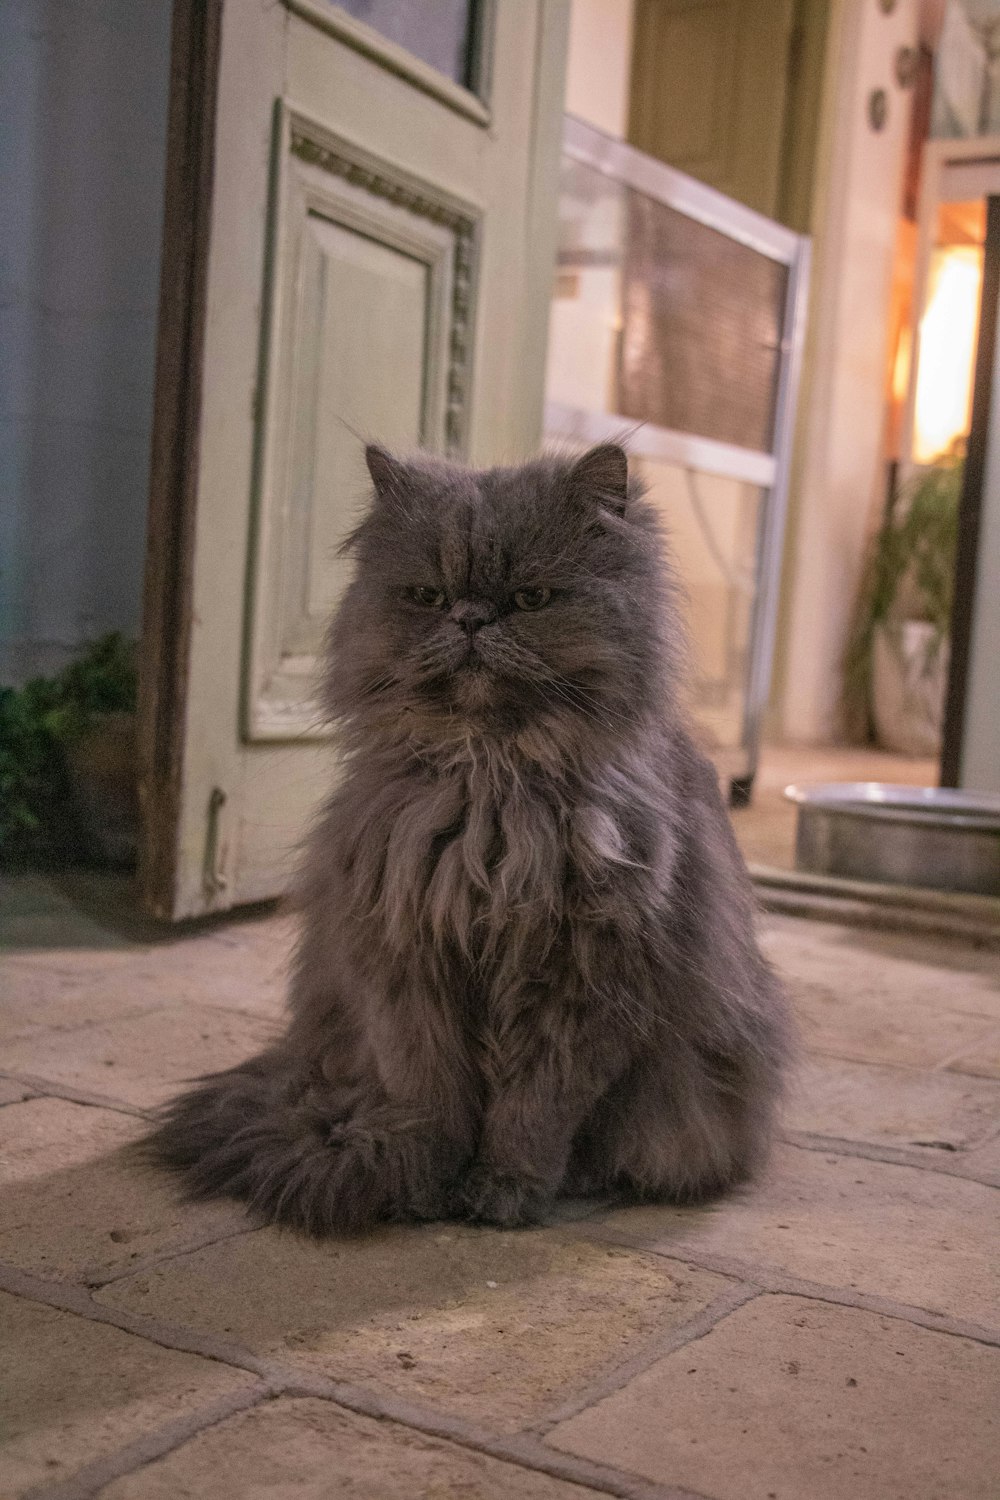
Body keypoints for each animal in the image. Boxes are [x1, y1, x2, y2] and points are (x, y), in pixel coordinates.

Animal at [150, 441, 791, 1230]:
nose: (471, 620)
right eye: (428, 597)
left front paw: (502, 1191)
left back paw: (580, 1179)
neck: (488, 790)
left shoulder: (583, 982)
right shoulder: (405, 966)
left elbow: (532, 1111)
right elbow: (433, 1097)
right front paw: (423, 1183)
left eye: (531, 599)